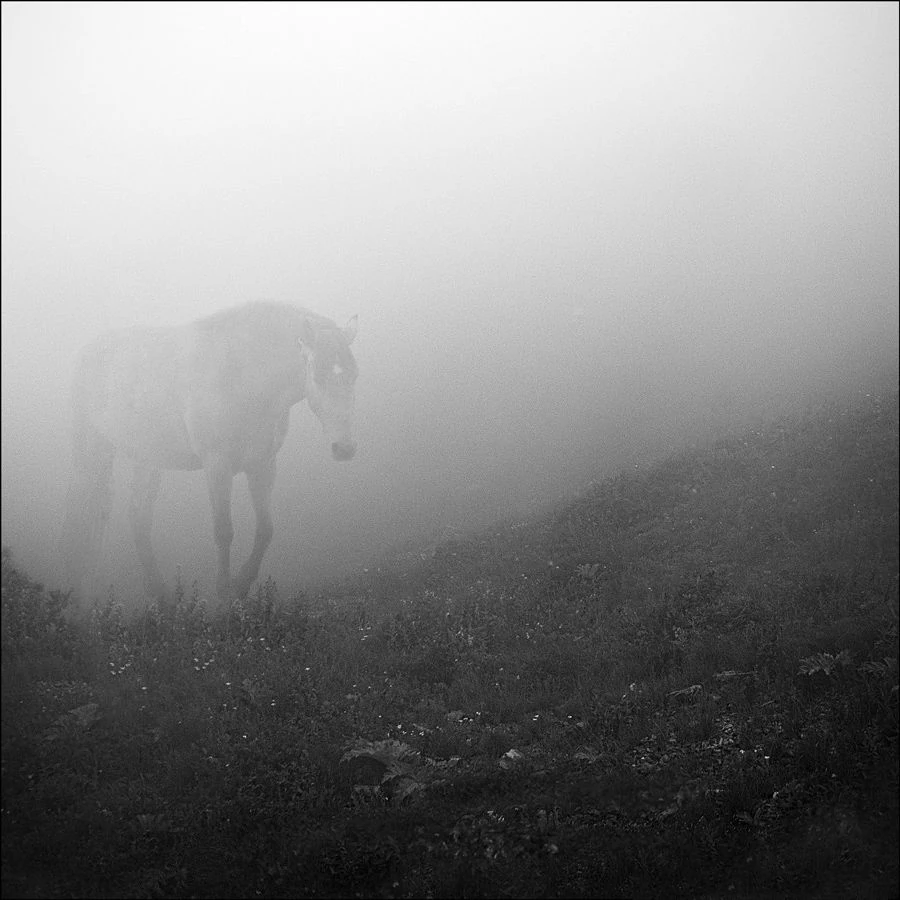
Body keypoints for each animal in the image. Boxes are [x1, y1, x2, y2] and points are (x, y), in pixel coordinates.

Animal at [61, 301, 358, 616]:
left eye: (355, 376)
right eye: (318, 377)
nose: (345, 448)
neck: (242, 377)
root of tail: (87, 353)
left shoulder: (263, 465)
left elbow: (266, 529)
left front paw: (241, 586)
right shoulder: (217, 466)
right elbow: (224, 531)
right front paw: (225, 595)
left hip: (148, 459)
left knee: (137, 519)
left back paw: (161, 597)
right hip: (91, 450)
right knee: (82, 517)